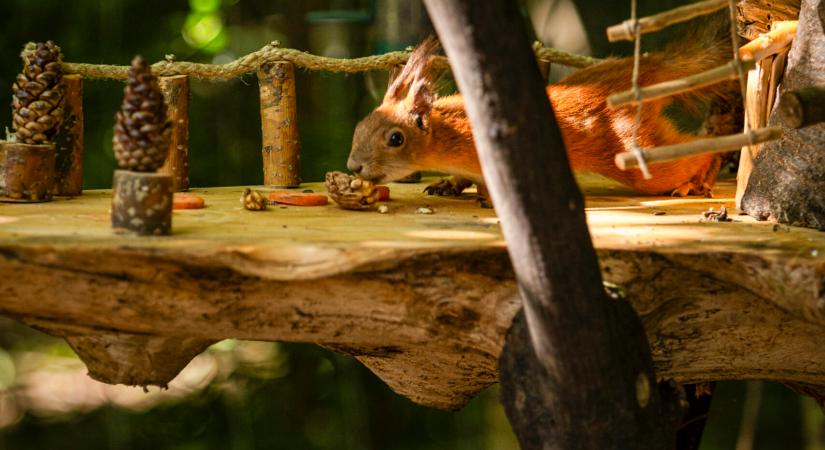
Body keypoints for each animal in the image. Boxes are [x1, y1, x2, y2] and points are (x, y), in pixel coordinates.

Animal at [344, 17, 736, 198]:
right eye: (359, 126)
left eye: (395, 139)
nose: (353, 166)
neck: (451, 134)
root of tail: (651, 70)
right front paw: (449, 184)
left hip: (635, 152)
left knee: (696, 152)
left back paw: (699, 178)